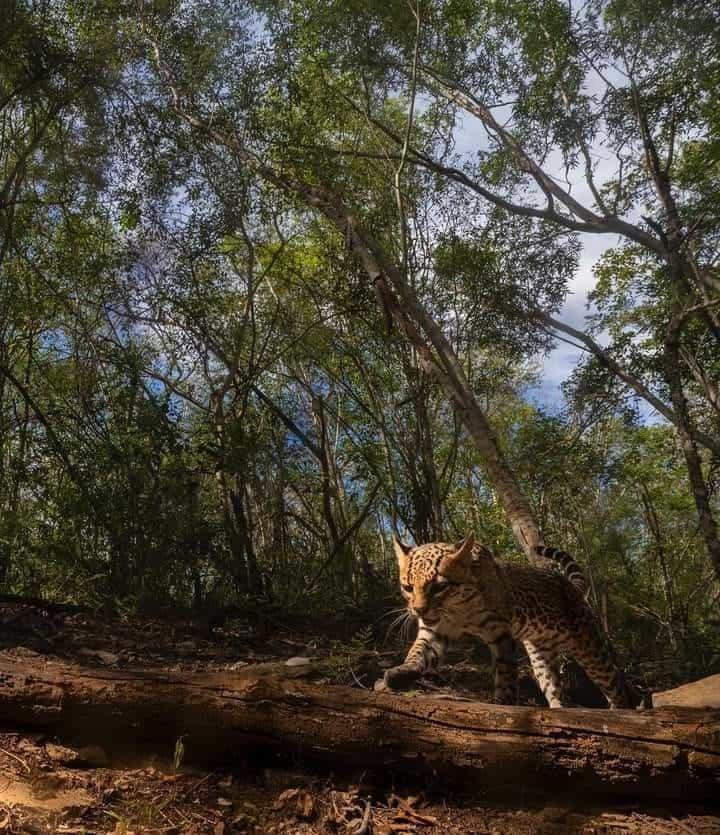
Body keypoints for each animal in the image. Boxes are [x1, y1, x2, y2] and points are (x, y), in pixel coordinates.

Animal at [382, 540, 632, 708]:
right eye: (407, 587)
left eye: (439, 587)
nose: (419, 610)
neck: (457, 610)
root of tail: (572, 587)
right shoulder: (435, 631)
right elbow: (418, 654)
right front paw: (399, 673)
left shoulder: (500, 633)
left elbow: (505, 673)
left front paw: (503, 702)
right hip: (541, 655)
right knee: (554, 688)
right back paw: (559, 710)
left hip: (588, 645)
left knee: (614, 683)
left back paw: (622, 712)